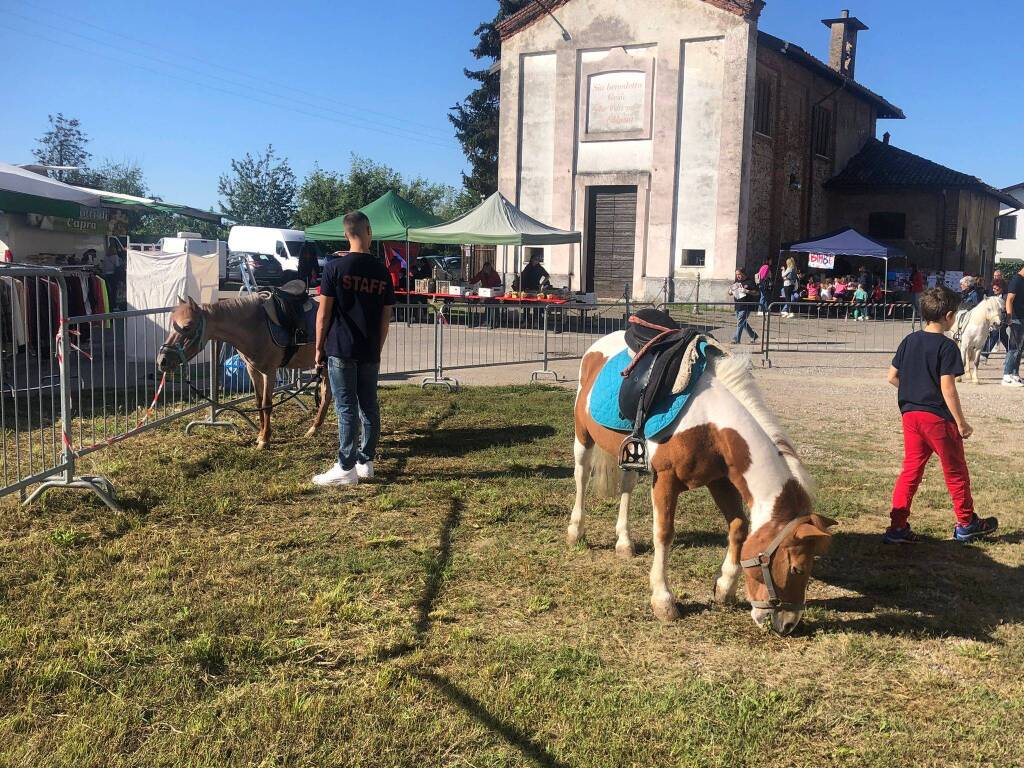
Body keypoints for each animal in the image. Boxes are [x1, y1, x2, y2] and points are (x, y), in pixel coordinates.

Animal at [155, 296, 331, 450]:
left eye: (187, 327)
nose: (162, 361)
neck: (256, 327)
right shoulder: (253, 370)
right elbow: (258, 403)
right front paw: (260, 435)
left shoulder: (269, 372)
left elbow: (267, 405)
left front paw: (265, 440)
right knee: (326, 394)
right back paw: (314, 428)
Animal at [569, 331, 831, 638]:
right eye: (797, 569)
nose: (788, 624)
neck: (709, 421)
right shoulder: (666, 480)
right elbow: (664, 534)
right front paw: (663, 601)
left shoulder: (720, 481)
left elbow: (739, 527)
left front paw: (725, 588)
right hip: (583, 436)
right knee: (582, 476)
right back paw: (576, 532)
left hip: (629, 454)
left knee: (627, 486)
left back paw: (624, 542)